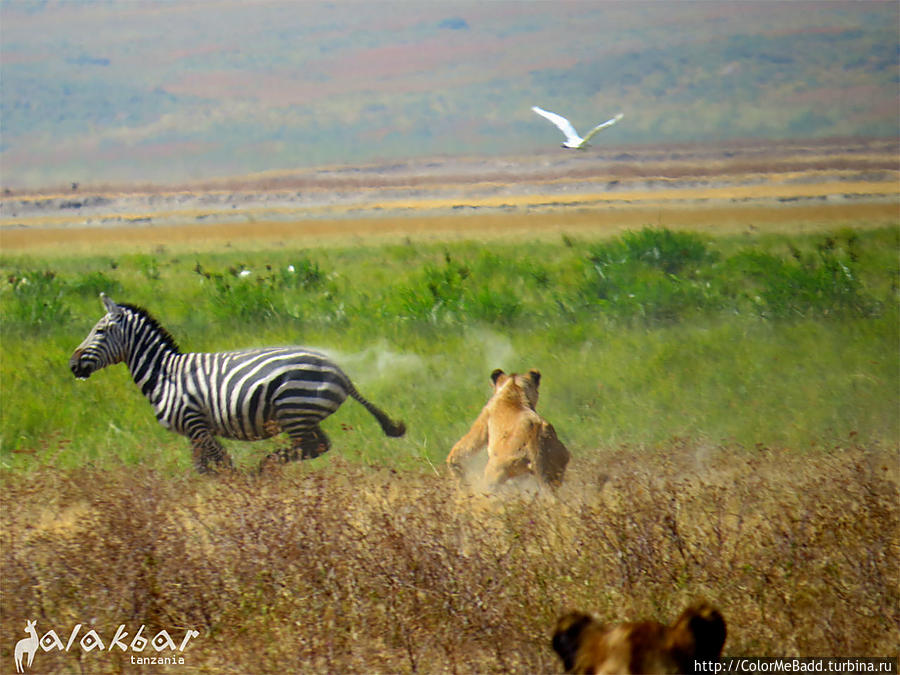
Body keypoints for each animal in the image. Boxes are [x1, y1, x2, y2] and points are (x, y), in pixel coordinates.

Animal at [68, 296, 406, 476]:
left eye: (99, 331)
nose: (72, 365)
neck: (164, 373)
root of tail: (338, 371)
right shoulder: (195, 432)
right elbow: (204, 468)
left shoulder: (197, 424)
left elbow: (221, 464)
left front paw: (233, 489)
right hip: (303, 415)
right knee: (319, 446)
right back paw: (266, 466)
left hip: (293, 408)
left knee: (308, 447)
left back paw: (263, 466)